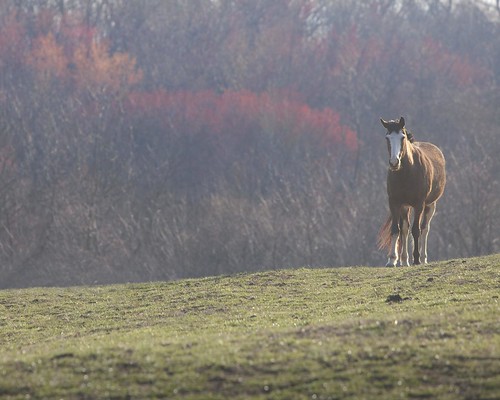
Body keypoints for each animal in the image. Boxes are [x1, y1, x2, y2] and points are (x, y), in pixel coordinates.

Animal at [378, 115, 446, 266]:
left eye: (402, 137)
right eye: (387, 137)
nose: (394, 163)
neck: (407, 172)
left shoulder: (419, 204)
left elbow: (416, 230)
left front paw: (416, 259)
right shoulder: (394, 202)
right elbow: (396, 229)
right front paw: (392, 259)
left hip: (430, 205)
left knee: (425, 228)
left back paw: (423, 258)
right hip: (405, 206)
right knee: (404, 229)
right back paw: (404, 260)